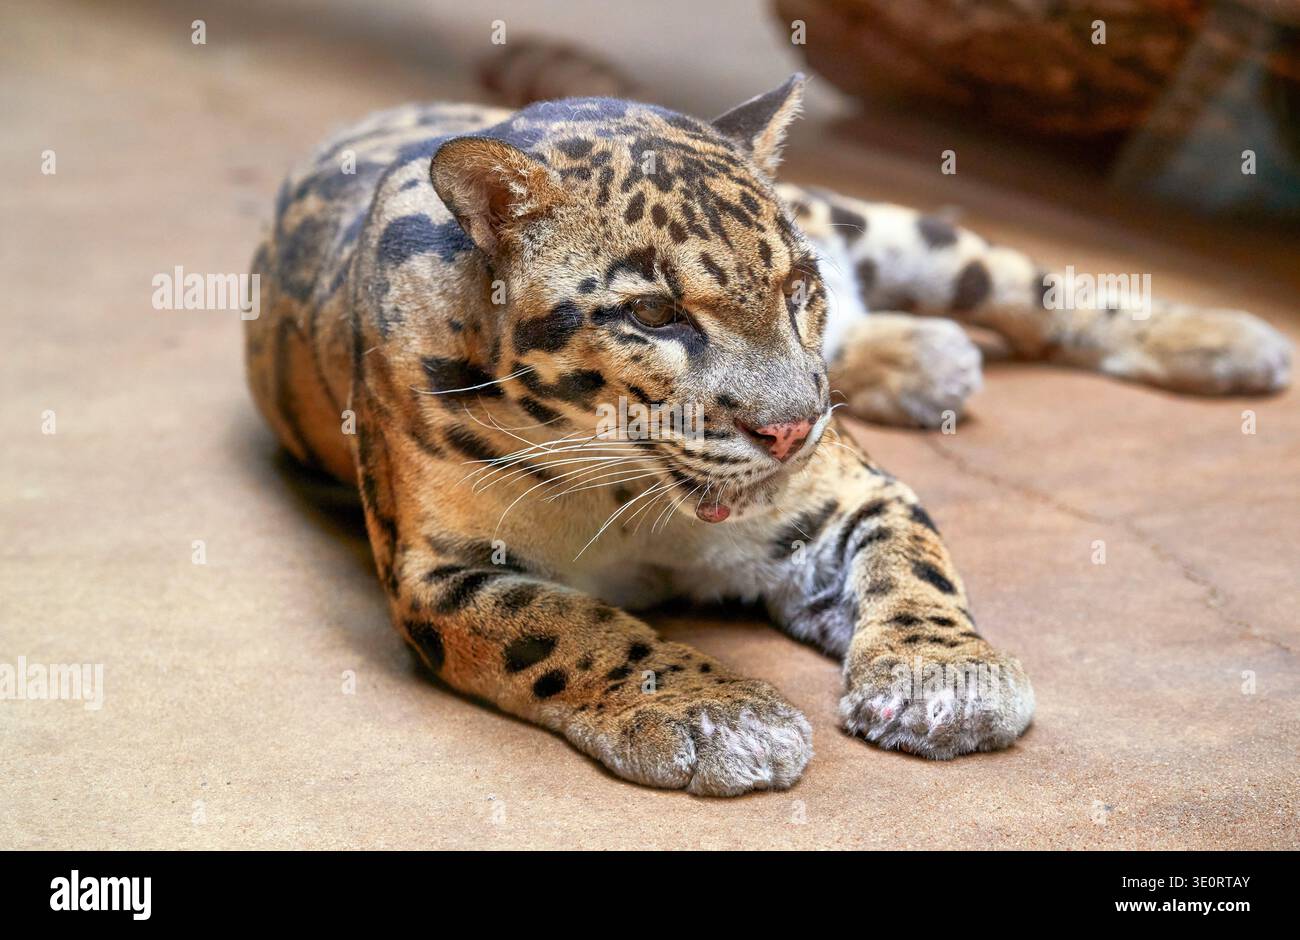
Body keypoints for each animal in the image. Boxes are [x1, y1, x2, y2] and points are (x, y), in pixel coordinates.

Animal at [245, 76, 1291, 796]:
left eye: (796, 285)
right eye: (654, 313)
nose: (790, 428)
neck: (632, 498)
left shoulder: (846, 492)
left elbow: (914, 563)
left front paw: (942, 677)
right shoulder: (439, 568)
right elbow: (571, 626)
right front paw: (713, 713)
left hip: (911, 238)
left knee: (1040, 293)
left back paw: (1230, 341)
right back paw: (927, 361)